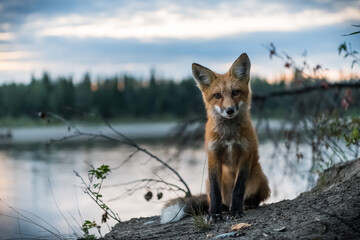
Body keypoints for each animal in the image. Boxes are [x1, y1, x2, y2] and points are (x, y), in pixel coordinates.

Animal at [160, 53, 270, 224]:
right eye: (217, 96)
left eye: (235, 92)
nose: (230, 110)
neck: (228, 135)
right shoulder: (213, 155)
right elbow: (214, 191)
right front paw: (214, 214)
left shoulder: (245, 154)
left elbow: (238, 189)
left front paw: (236, 210)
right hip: (208, 181)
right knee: (214, 199)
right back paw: (223, 208)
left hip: (259, 177)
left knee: (256, 196)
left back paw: (247, 203)